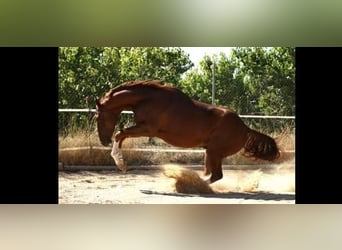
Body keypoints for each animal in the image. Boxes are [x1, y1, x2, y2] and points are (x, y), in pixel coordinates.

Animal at [95, 80, 280, 184]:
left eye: (98, 117)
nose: (103, 141)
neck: (149, 99)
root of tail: (245, 129)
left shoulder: (148, 129)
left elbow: (120, 134)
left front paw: (121, 164)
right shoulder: (143, 128)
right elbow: (121, 136)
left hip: (214, 151)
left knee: (216, 176)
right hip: (210, 152)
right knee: (212, 173)